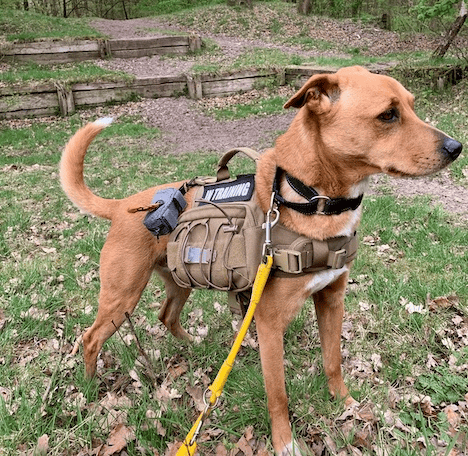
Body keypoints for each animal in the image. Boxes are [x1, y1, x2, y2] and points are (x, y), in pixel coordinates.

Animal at [61, 66, 460, 454]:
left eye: (411, 106)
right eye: (388, 115)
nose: (456, 147)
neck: (309, 199)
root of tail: (123, 205)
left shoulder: (332, 299)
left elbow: (333, 361)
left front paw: (345, 402)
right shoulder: (269, 323)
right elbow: (278, 395)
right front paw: (285, 441)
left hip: (178, 282)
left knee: (166, 316)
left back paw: (193, 345)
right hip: (121, 297)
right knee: (90, 339)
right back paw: (91, 389)